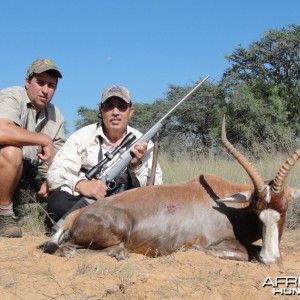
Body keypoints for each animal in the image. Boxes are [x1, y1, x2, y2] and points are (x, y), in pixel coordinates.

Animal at [38, 117, 300, 264]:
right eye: (256, 210)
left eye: (284, 208)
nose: (271, 259)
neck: (230, 207)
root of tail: (73, 217)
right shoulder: (215, 244)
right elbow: (248, 252)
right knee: (66, 250)